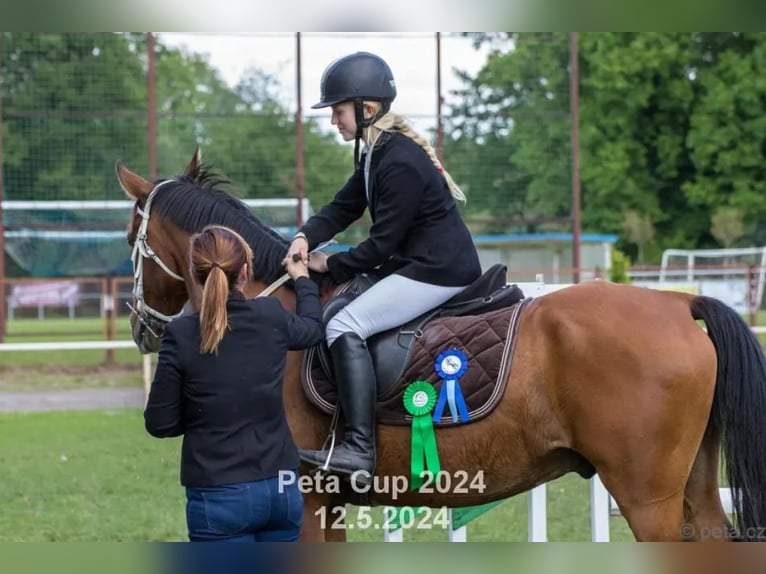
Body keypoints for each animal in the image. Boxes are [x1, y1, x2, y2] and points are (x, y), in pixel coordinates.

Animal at [117, 150, 766, 544]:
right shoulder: (325, 503)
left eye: (129, 238)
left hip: (647, 499)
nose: (140, 326)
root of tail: (679, 304)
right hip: (693, 490)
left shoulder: (299, 497)